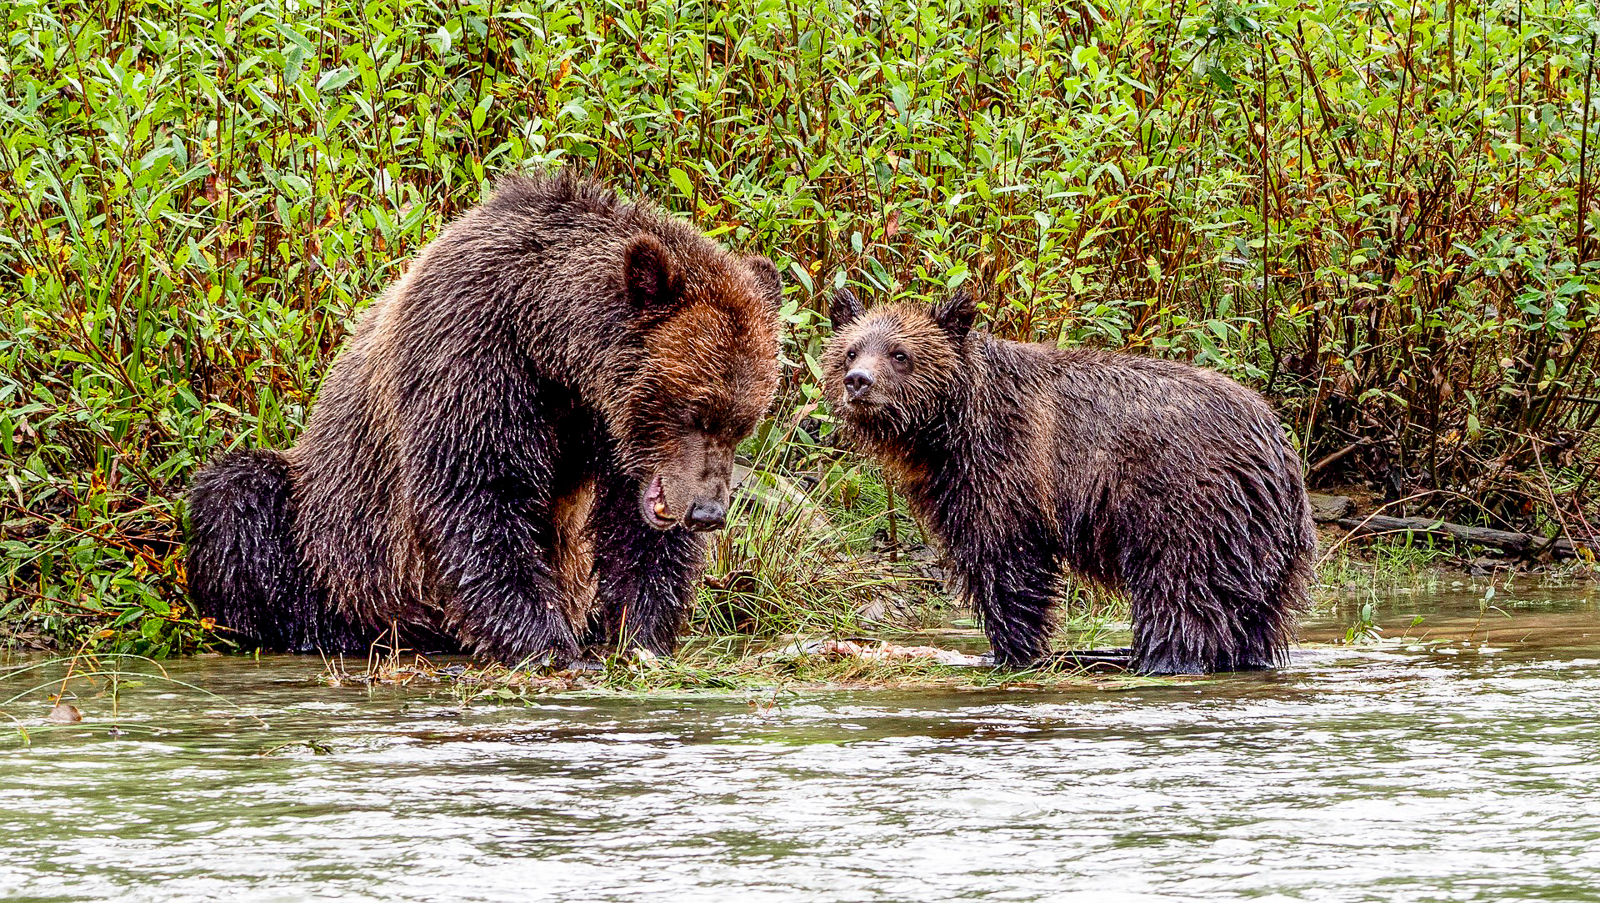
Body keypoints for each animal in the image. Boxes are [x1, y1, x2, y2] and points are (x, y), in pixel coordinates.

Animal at [186, 171, 783, 666]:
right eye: (696, 412)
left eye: (743, 422)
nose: (707, 512)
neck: (551, 346)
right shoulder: (473, 357)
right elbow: (476, 495)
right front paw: (549, 645)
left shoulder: (602, 429)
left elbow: (636, 533)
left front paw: (636, 636)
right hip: (332, 536)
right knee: (239, 498)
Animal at [822, 285, 1315, 674]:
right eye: (851, 350)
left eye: (900, 354)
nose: (858, 381)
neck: (946, 430)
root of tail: (1277, 441)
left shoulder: (1007, 467)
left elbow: (1005, 561)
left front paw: (1011, 649)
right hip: (1261, 538)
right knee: (1254, 614)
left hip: (1188, 504)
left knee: (1181, 590)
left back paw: (1163, 659)